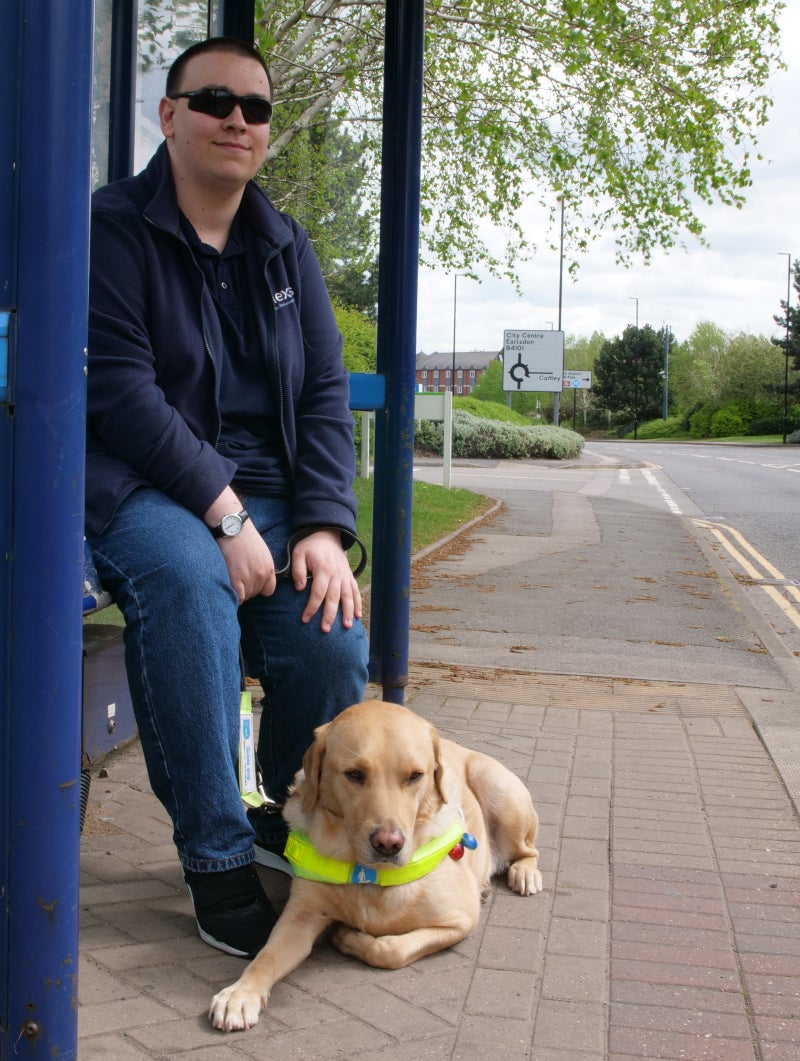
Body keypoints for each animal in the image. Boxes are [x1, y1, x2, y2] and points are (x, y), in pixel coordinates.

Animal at [209, 700, 538, 1031]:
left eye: (415, 776)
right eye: (354, 774)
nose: (388, 844)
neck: (366, 874)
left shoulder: (460, 920)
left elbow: (391, 949)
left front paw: (348, 937)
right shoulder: (300, 915)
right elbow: (267, 955)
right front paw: (240, 993)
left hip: (498, 792)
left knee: (528, 848)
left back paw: (525, 873)